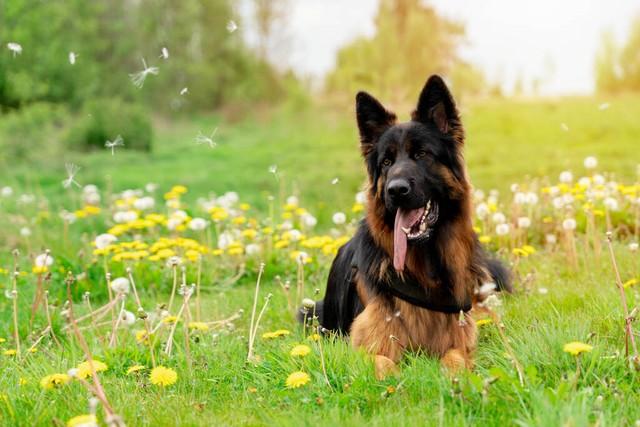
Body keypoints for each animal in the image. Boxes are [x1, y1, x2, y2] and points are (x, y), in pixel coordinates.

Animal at [310, 75, 510, 380]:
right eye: (386, 162)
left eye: (422, 154)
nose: (396, 190)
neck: (424, 267)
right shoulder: (365, 345)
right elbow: (383, 364)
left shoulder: (460, 335)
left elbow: (455, 359)